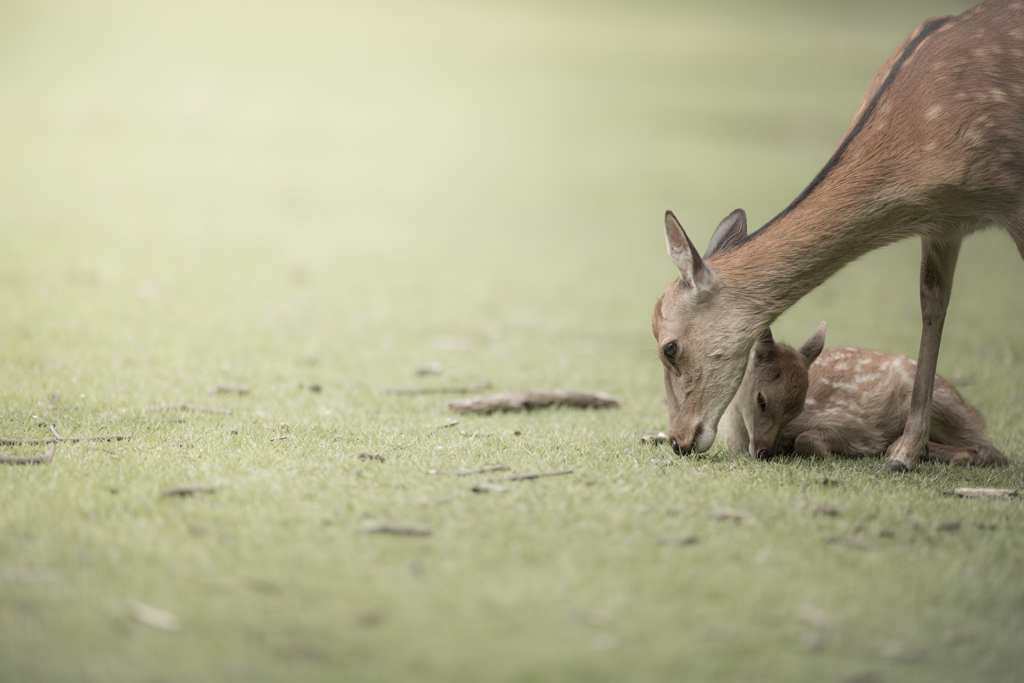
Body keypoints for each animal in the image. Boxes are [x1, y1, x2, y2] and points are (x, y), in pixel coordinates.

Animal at [655, 0, 1024, 471]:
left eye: (669, 347)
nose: (678, 438)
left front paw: (900, 449)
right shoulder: (945, 221)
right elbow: (932, 304)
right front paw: (905, 451)